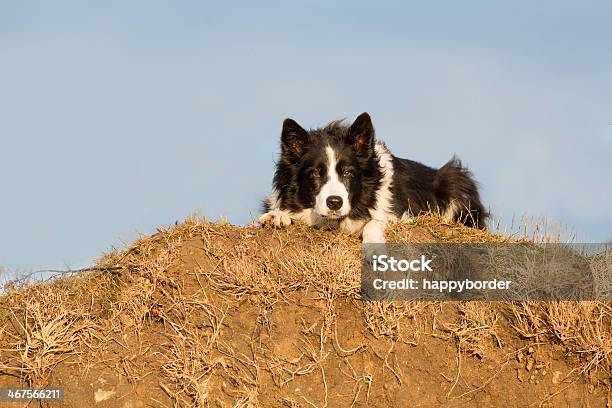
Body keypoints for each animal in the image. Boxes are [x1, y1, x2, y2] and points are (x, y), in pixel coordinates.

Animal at [260, 112, 488, 242]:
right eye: (315, 172)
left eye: (348, 172)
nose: (334, 202)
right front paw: (276, 216)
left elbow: (375, 222)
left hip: (455, 178)